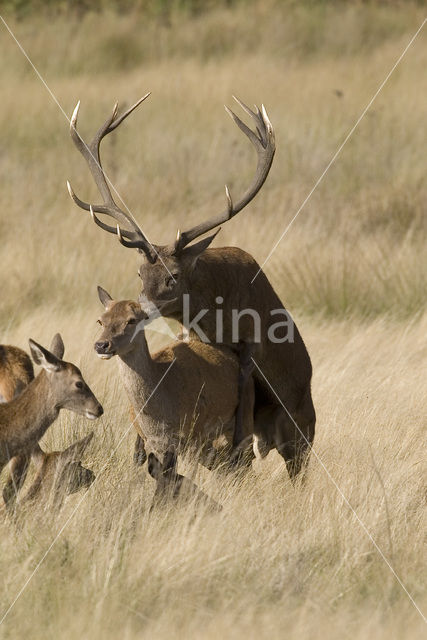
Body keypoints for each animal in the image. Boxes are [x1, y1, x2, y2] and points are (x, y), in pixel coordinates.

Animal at [94, 288, 254, 468]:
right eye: (100, 320)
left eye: (132, 320)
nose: (101, 345)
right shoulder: (155, 444)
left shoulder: (193, 437)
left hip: (243, 423)